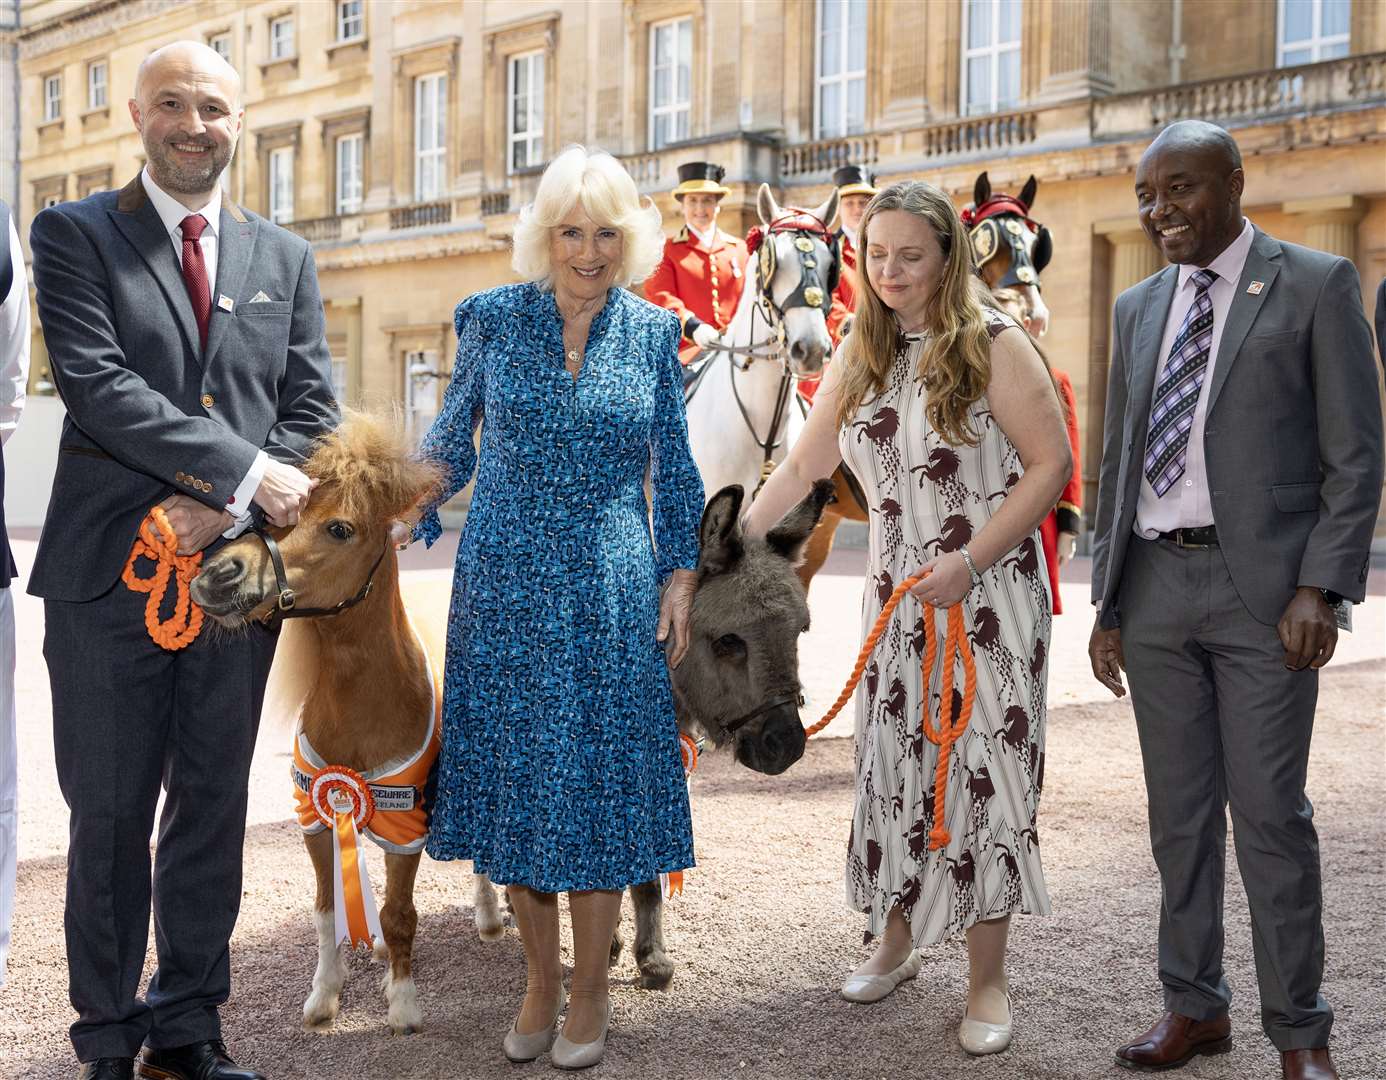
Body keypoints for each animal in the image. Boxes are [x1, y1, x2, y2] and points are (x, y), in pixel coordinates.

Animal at [188, 413, 504, 1037]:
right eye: (271, 515)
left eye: (339, 528)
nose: (217, 575)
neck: (366, 704)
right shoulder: (317, 815)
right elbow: (327, 909)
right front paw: (325, 995)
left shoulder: (406, 826)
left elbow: (401, 912)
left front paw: (403, 1004)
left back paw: (488, 920)